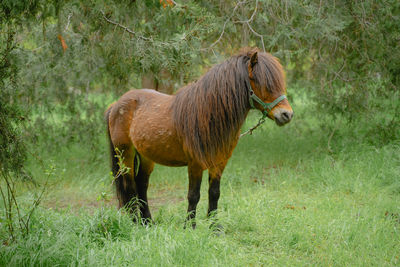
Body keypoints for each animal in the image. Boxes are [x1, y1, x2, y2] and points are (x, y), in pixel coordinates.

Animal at [105, 48, 294, 228]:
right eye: (264, 84)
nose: (287, 115)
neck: (208, 114)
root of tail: (115, 104)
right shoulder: (195, 163)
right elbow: (194, 195)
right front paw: (190, 226)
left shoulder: (219, 162)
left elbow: (214, 193)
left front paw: (215, 226)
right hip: (125, 154)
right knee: (130, 186)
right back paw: (136, 223)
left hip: (146, 156)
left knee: (142, 185)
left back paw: (148, 223)